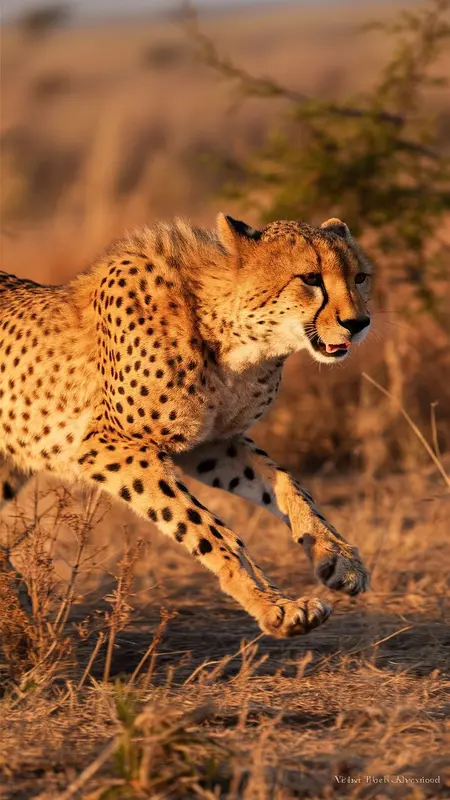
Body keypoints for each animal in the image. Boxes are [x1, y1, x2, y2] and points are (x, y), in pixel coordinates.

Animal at [0, 213, 372, 638]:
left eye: (360, 277)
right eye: (310, 278)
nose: (359, 323)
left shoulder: (212, 443)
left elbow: (286, 483)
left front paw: (338, 556)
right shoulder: (108, 445)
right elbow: (205, 526)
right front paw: (274, 604)